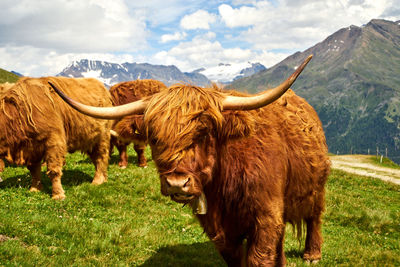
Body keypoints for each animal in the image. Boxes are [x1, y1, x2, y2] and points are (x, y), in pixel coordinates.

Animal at [50, 55, 332, 266]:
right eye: (155, 138)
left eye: (204, 133)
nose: (177, 183)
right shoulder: (221, 231)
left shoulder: (265, 217)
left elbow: (259, 258)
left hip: (316, 189)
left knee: (315, 217)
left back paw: (312, 254)